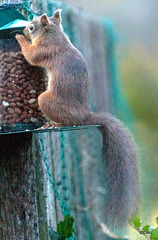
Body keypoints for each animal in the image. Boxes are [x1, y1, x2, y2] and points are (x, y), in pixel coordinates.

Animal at [15, 9, 139, 230]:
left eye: (31, 27)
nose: (23, 30)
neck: (55, 35)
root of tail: (84, 115)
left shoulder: (44, 50)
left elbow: (31, 56)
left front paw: (19, 38)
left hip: (46, 101)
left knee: (64, 121)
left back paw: (53, 124)